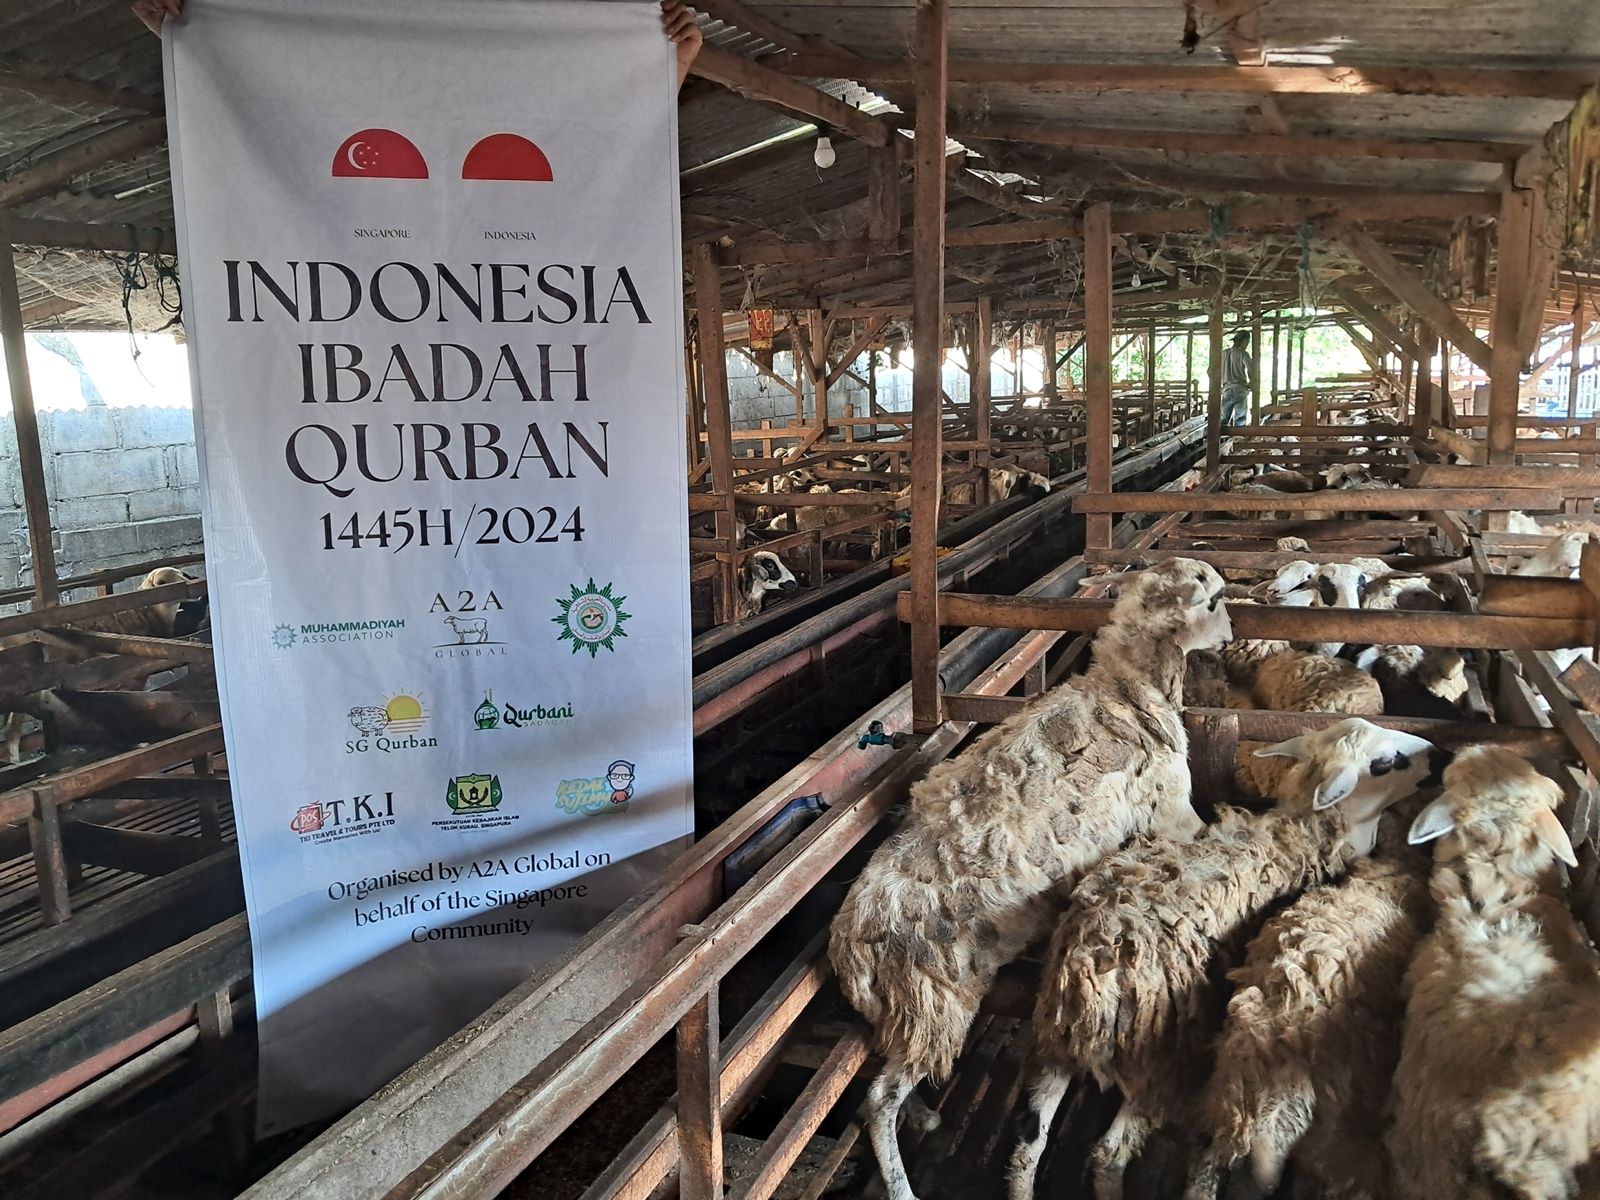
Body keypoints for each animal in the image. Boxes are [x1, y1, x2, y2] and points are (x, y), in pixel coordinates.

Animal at [831, 559, 1233, 1200]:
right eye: (1214, 599)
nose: (1233, 630)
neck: (1128, 686)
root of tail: (848, 944)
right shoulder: (1173, 809)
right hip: (936, 1001)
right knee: (876, 1102)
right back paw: (902, 1183)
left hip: (907, 1013)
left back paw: (927, 1116)